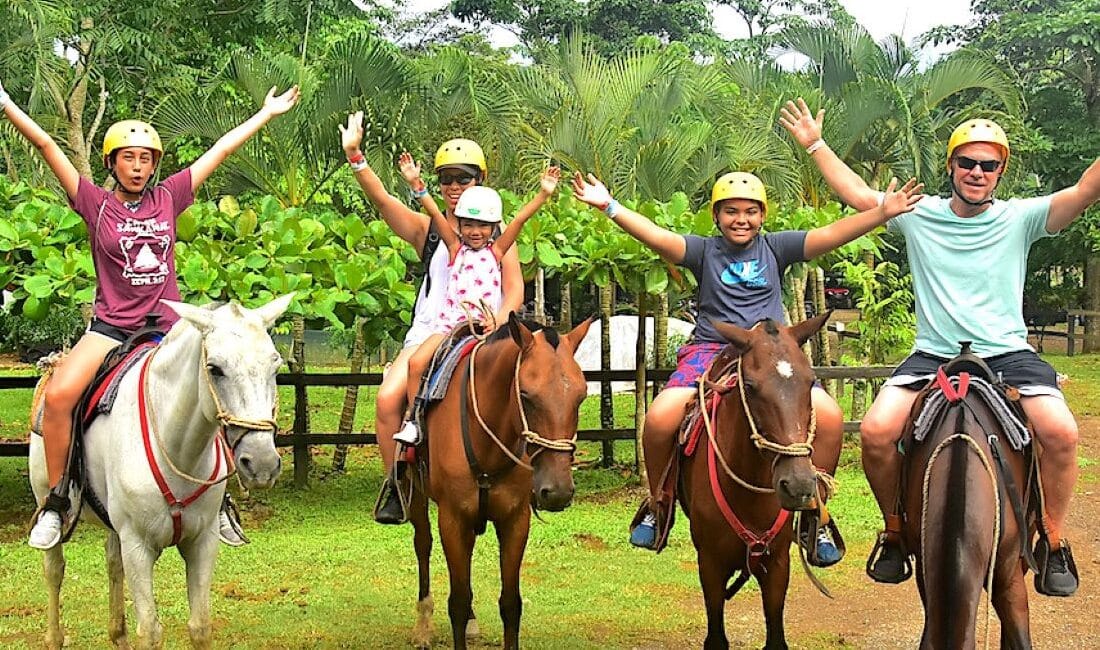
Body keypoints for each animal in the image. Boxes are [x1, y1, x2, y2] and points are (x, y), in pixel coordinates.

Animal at [29, 296, 294, 650]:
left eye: (275, 367)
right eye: (215, 369)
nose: (262, 463)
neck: (176, 447)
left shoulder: (202, 542)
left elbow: (200, 626)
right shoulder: (138, 546)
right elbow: (150, 631)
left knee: (113, 563)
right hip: (45, 496)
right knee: (54, 569)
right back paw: (54, 634)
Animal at [404, 312, 594, 646]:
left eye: (581, 397)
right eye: (526, 395)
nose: (557, 492)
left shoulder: (515, 519)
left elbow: (510, 604)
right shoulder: (452, 519)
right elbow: (457, 601)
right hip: (416, 494)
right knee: (423, 544)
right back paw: (423, 625)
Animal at [677, 312, 831, 650]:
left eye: (810, 381)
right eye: (750, 385)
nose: (798, 485)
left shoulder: (777, 564)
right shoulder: (710, 564)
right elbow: (716, 638)